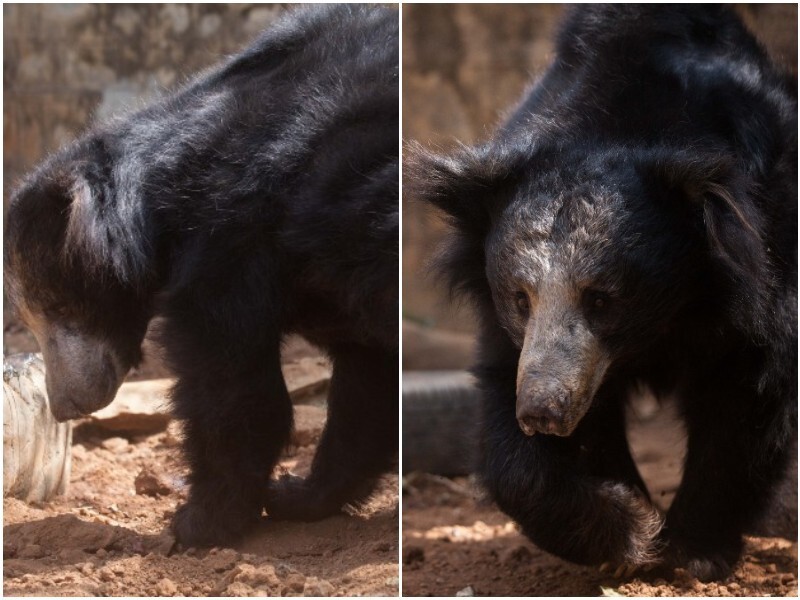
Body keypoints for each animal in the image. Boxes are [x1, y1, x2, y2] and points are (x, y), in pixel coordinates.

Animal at [3, 4, 396, 548]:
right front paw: (299, 497)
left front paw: (200, 522)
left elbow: (230, 384)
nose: (65, 405)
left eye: (58, 309)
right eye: (32, 320)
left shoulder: (231, 242)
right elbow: (366, 386)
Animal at [412, 4, 792, 584]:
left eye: (601, 299)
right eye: (519, 299)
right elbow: (510, 406)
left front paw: (691, 550)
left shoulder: (761, 267)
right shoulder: (516, 337)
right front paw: (626, 528)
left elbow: (746, 391)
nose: (542, 412)